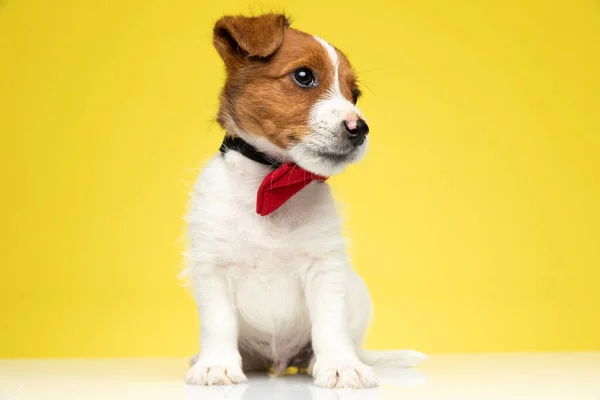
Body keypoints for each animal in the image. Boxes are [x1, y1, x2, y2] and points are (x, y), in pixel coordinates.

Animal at [185, 14, 424, 388]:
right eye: (303, 76)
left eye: (354, 94)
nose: (360, 128)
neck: (270, 180)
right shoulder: (213, 268)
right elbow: (218, 324)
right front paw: (217, 365)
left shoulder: (324, 268)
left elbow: (329, 324)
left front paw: (340, 365)